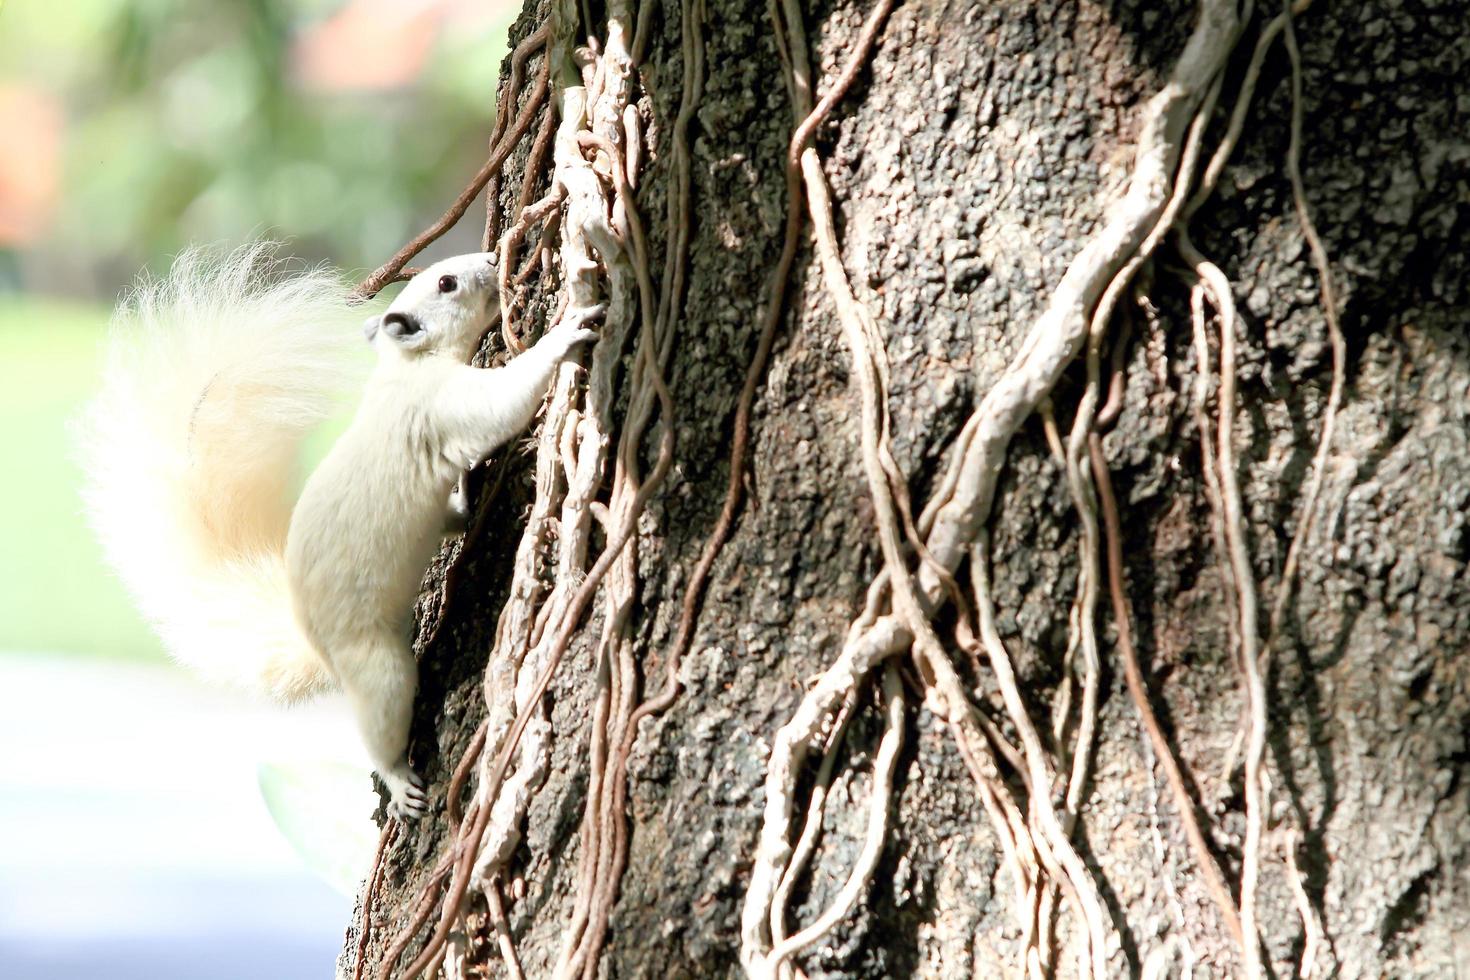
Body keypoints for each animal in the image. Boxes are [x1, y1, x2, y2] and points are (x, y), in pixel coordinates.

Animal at [77, 246, 596, 822]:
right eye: (445, 283)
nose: (491, 257)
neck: (407, 366)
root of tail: (314, 643)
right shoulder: (442, 404)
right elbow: (503, 404)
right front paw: (567, 332)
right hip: (378, 666)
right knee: (379, 724)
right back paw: (398, 781)